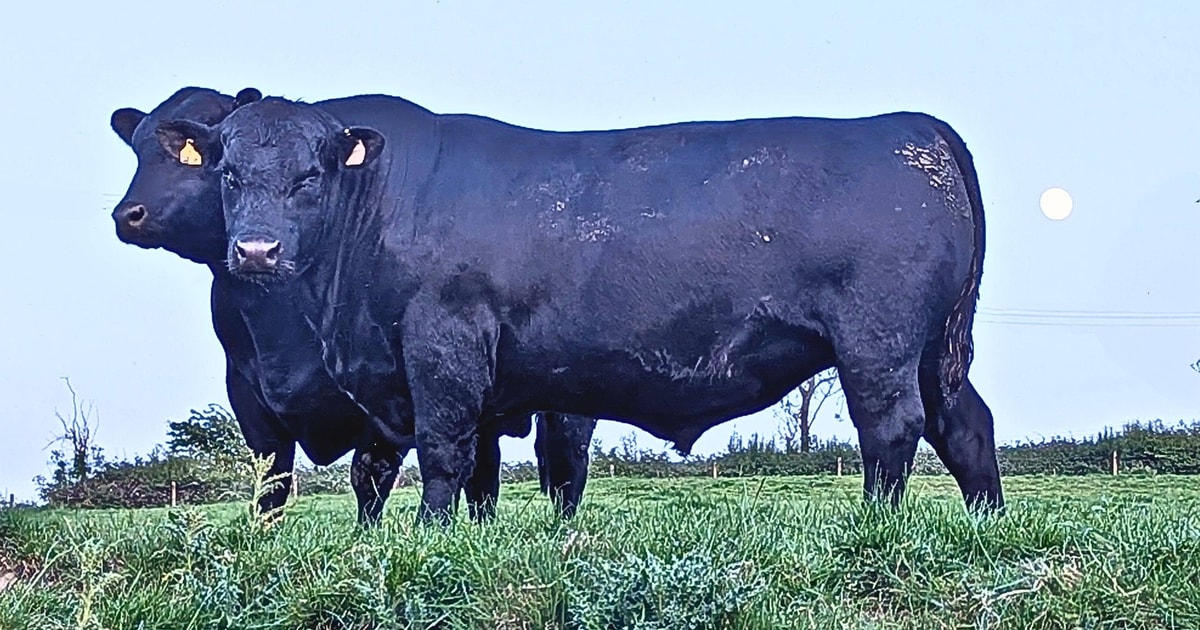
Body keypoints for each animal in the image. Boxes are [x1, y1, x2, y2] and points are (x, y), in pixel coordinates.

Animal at [109, 87, 598, 523]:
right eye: (137, 149)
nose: (130, 213)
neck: (276, 327)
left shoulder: (383, 392)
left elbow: (370, 476)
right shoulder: (248, 393)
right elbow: (272, 482)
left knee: (564, 464)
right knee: (485, 474)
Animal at [159, 94, 1004, 524]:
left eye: (310, 176)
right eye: (228, 173)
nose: (256, 252)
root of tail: (910, 127)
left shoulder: (442, 346)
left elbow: (442, 451)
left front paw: (428, 536)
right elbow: (475, 469)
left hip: (879, 343)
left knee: (891, 428)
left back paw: (877, 526)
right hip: (931, 349)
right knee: (965, 423)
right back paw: (983, 522)